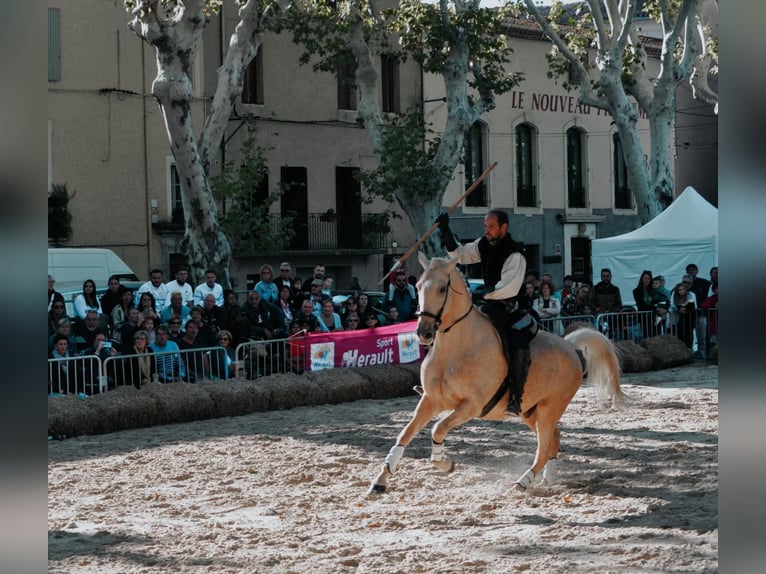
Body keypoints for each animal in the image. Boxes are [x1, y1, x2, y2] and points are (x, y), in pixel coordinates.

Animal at [368, 252, 624, 495]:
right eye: (419, 286)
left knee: (543, 448)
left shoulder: (470, 406)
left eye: (442, 288)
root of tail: (570, 346)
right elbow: (404, 434)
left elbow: (437, 428)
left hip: (550, 409)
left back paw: (521, 484)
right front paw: (381, 479)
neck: (455, 349)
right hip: (530, 412)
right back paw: (547, 479)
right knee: (554, 439)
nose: (424, 333)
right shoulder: (430, 400)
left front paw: (445, 463)